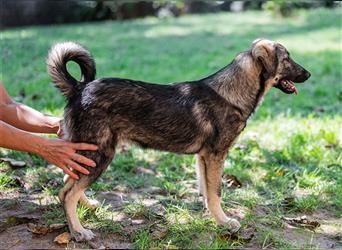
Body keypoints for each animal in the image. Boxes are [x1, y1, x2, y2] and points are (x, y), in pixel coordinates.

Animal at [46, 38, 312, 240]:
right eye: (287, 58)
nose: (309, 74)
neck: (232, 93)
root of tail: (79, 89)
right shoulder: (216, 155)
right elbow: (216, 192)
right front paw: (225, 222)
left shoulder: (203, 158)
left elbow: (207, 193)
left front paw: (213, 218)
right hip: (100, 153)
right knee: (66, 193)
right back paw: (79, 231)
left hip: (87, 153)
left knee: (68, 181)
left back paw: (87, 207)